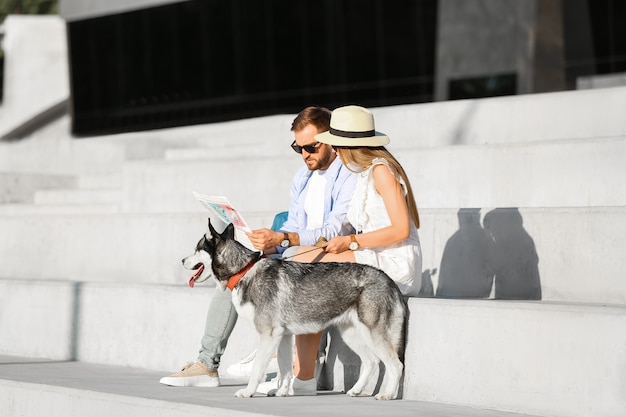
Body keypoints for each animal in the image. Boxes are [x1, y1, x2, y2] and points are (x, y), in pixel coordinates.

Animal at [182, 219, 404, 398]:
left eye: (196, 249)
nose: (182, 260)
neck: (244, 270)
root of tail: (389, 280)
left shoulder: (269, 335)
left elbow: (258, 369)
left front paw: (249, 392)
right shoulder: (283, 336)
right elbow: (285, 368)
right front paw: (282, 391)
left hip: (373, 335)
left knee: (395, 365)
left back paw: (388, 395)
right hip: (352, 334)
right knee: (372, 361)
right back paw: (357, 390)